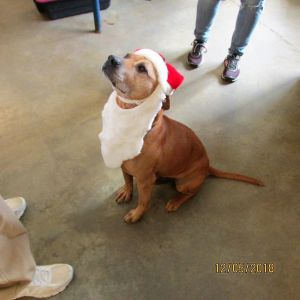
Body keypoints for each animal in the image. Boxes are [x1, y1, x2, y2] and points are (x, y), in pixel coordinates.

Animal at [99, 49, 262, 223]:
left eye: (142, 69)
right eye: (127, 56)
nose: (112, 59)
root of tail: (207, 165)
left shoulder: (144, 180)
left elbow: (143, 201)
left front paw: (137, 214)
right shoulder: (123, 165)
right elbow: (128, 180)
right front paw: (126, 192)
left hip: (184, 183)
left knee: (192, 193)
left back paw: (176, 201)